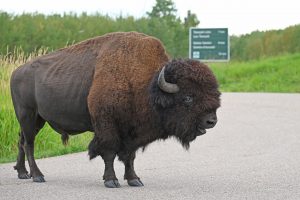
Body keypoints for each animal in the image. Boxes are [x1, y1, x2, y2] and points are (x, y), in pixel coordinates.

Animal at [10, 31, 220, 188]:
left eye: (214, 93)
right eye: (188, 97)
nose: (211, 121)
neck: (147, 85)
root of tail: (16, 72)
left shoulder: (132, 131)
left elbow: (130, 156)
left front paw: (134, 179)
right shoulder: (107, 125)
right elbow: (109, 152)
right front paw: (111, 180)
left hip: (37, 120)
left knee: (21, 140)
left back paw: (22, 173)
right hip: (28, 115)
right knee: (29, 144)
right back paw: (38, 175)